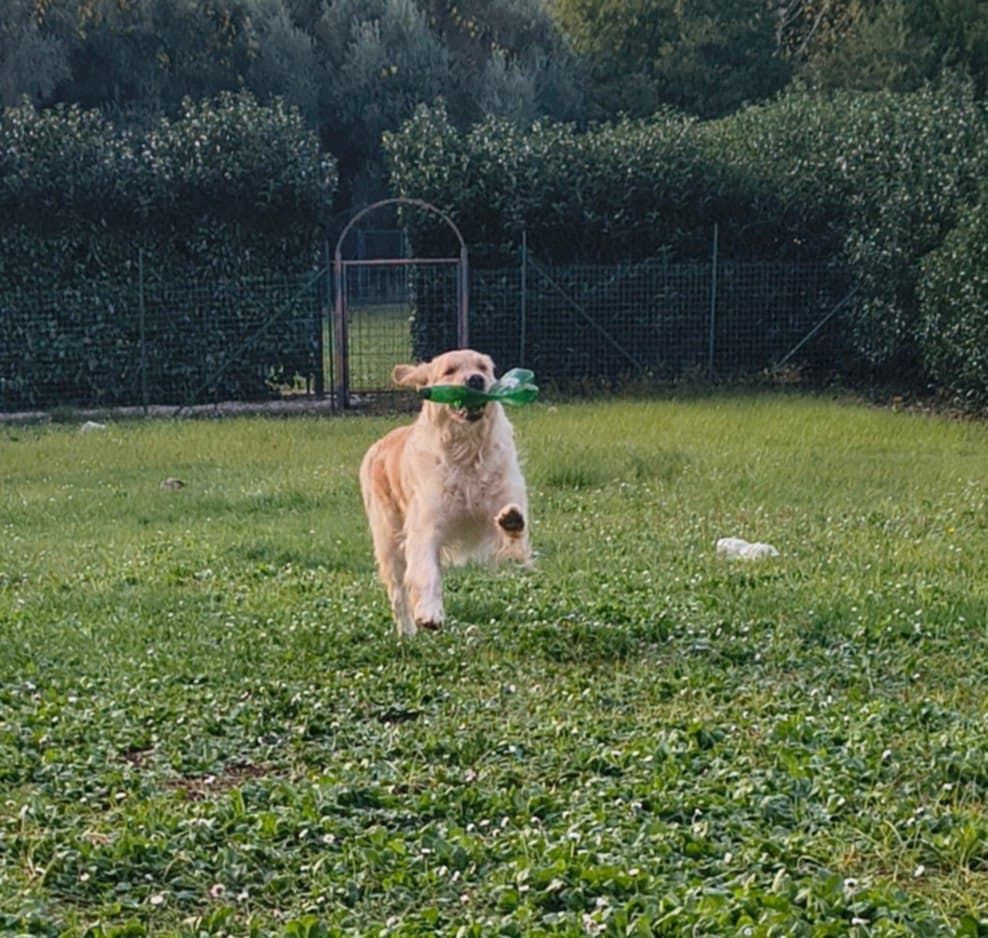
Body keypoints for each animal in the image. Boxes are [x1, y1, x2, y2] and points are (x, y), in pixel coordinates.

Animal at [360, 349, 532, 636]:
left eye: (483, 367)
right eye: (449, 370)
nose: (475, 380)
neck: (467, 451)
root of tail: (379, 444)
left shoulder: (502, 497)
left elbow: (515, 529)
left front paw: (511, 520)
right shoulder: (425, 526)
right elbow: (426, 573)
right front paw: (430, 613)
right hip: (388, 540)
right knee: (398, 593)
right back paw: (406, 631)